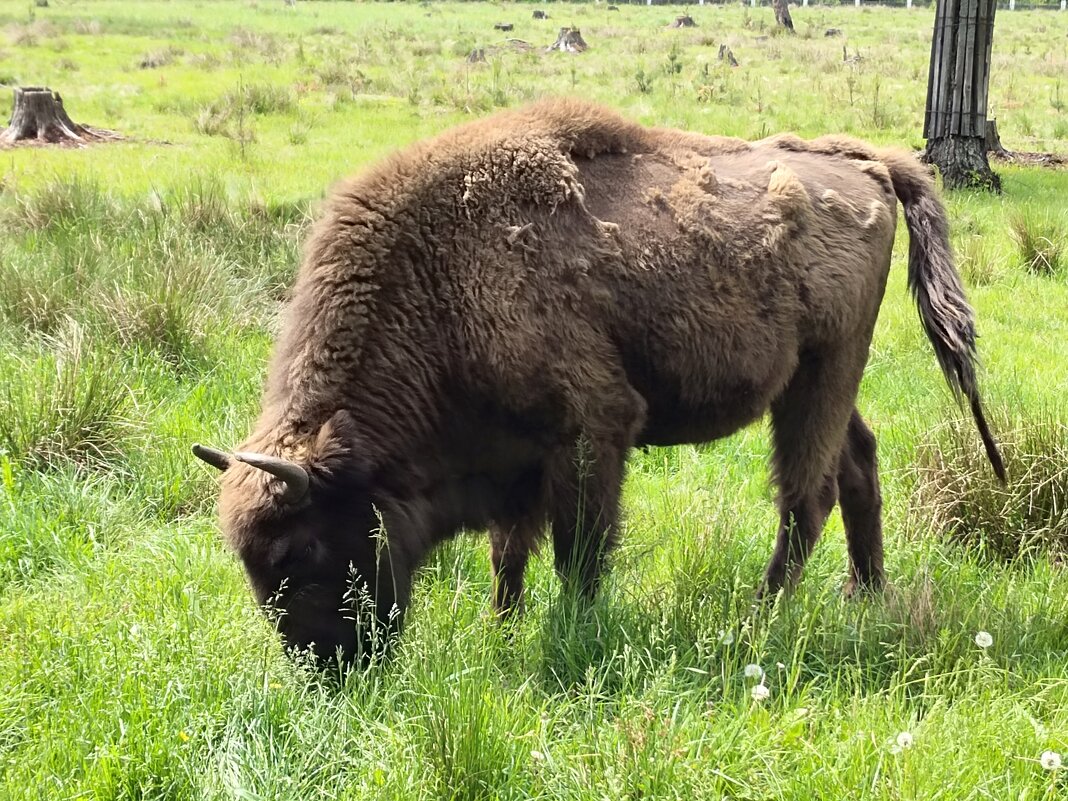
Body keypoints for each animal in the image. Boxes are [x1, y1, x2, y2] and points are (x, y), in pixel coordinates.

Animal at [196, 97, 1003, 666]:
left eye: (301, 552)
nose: (329, 670)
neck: (442, 279)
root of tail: (870, 162)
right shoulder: (514, 460)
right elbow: (508, 555)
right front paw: (503, 629)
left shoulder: (592, 431)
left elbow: (578, 551)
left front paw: (572, 633)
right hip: (818, 383)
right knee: (858, 464)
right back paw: (866, 594)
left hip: (823, 373)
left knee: (807, 496)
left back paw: (758, 618)